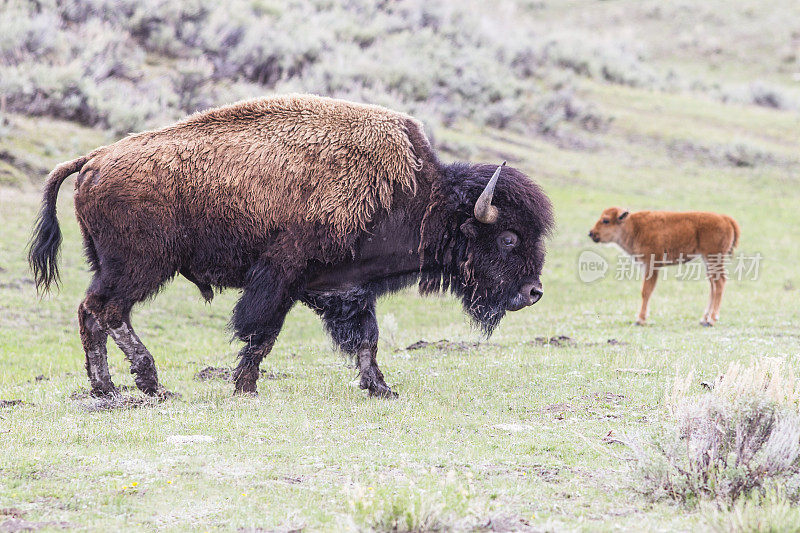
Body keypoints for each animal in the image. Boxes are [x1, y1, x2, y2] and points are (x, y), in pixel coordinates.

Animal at [588, 207, 736, 324]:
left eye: (606, 220)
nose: (591, 233)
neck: (634, 227)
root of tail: (725, 218)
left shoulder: (651, 266)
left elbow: (646, 291)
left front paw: (640, 320)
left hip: (713, 258)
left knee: (720, 282)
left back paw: (712, 319)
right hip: (707, 260)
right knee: (713, 284)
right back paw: (704, 319)